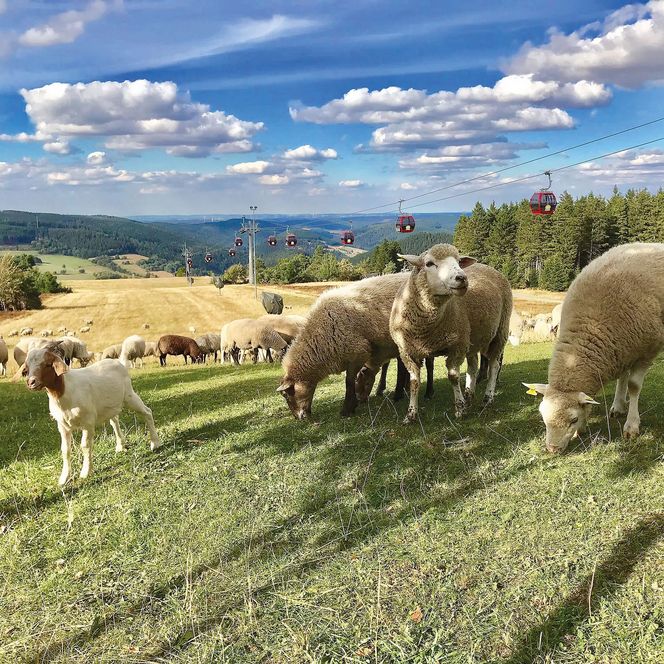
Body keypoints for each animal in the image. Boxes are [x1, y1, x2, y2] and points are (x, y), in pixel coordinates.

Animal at [16, 347, 160, 485]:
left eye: (47, 364)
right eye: (27, 368)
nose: (31, 382)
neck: (64, 392)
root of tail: (118, 362)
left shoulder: (88, 422)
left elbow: (85, 446)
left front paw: (86, 472)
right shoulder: (62, 426)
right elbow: (65, 450)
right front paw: (64, 478)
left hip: (129, 396)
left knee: (147, 412)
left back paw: (155, 443)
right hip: (109, 406)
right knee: (115, 420)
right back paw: (120, 445)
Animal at [278, 273, 408, 419]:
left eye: (286, 394)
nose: (299, 418)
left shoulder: (358, 352)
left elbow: (349, 382)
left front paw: (347, 409)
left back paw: (399, 393)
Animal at [389, 244, 512, 423]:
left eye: (459, 261)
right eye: (429, 263)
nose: (462, 278)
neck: (425, 331)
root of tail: (487, 266)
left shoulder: (457, 345)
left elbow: (453, 377)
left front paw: (459, 409)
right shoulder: (407, 351)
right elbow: (414, 382)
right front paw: (411, 414)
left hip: (500, 331)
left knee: (494, 366)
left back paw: (487, 398)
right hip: (471, 338)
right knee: (473, 366)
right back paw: (469, 395)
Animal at [525, 243, 664, 453]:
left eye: (573, 419)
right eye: (542, 416)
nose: (552, 449)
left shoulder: (646, 352)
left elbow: (634, 386)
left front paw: (631, 426)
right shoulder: (622, 348)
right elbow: (622, 378)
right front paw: (617, 407)